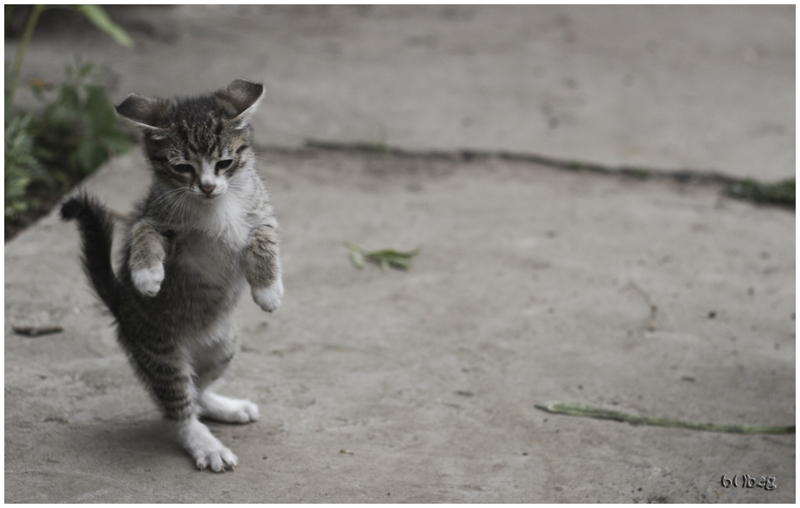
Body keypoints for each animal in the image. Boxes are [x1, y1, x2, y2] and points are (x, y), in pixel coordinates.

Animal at [58, 79, 282, 472]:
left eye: (224, 163)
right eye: (182, 167)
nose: (207, 186)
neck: (214, 205)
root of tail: (120, 306)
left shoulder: (262, 213)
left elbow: (262, 237)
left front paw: (268, 289)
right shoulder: (157, 217)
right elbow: (143, 231)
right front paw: (146, 274)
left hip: (222, 345)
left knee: (198, 390)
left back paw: (224, 406)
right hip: (160, 352)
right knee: (179, 405)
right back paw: (204, 443)